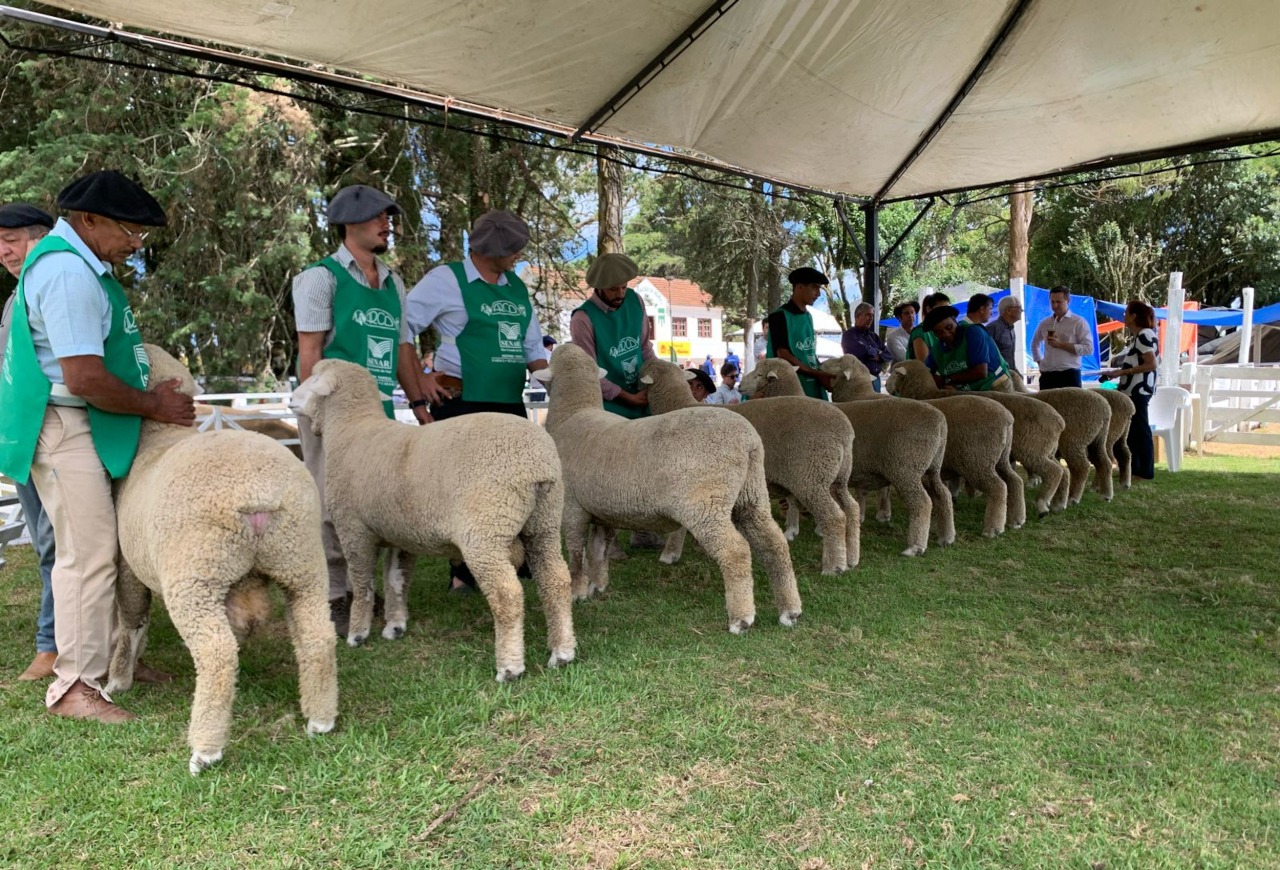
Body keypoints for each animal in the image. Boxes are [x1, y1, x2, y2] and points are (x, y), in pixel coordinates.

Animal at [109, 342, 337, 772]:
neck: (158, 436)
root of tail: (258, 494)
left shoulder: (128, 566)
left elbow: (132, 621)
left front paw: (119, 678)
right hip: (301, 562)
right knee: (318, 636)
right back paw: (321, 719)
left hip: (195, 576)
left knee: (217, 654)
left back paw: (205, 750)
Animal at [290, 355, 576, 680]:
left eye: (313, 379)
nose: (290, 399)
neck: (351, 430)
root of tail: (537, 462)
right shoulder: (399, 533)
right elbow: (396, 579)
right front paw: (395, 626)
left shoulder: (353, 529)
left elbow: (363, 583)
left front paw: (358, 633)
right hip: (544, 524)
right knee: (556, 580)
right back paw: (562, 652)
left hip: (486, 531)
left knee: (507, 594)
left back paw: (510, 666)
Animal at [537, 342, 798, 634]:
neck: (572, 414)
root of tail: (748, 441)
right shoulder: (601, 511)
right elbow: (598, 551)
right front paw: (598, 585)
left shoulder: (572, 508)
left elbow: (576, 554)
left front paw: (578, 592)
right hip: (751, 496)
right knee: (774, 543)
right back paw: (789, 610)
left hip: (705, 504)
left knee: (736, 551)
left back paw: (741, 618)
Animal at [640, 355, 860, 573]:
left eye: (759, 374)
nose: (740, 385)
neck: (677, 404)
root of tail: (845, 430)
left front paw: (669, 554)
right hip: (837, 477)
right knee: (851, 508)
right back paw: (851, 558)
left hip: (812, 476)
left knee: (834, 516)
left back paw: (834, 567)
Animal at [742, 358, 952, 557]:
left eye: (759, 374)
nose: (740, 386)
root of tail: (940, 420)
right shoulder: (793, 469)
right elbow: (793, 499)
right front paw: (792, 530)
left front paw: (817, 530)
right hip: (932, 467)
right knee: (943, 494)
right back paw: (946, 537)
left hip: (907, 467)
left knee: (922, 503)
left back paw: (915, 546)